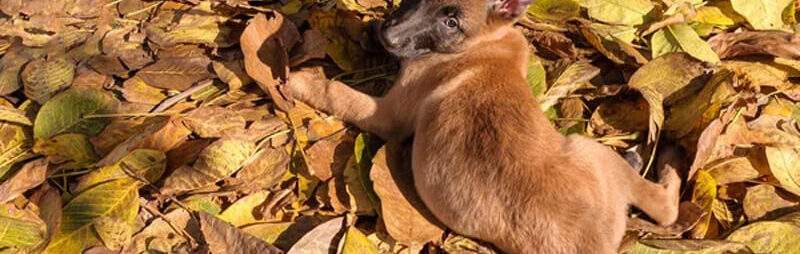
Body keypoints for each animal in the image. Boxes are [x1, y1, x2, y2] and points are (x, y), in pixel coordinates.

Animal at [288, 0, 680, 252]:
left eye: (451, 22)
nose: (390, 35)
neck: (485, 44)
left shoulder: (388, 114)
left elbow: (338, 92)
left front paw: (297, 81)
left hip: (589, 148)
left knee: (665, 207)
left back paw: (667, 164)